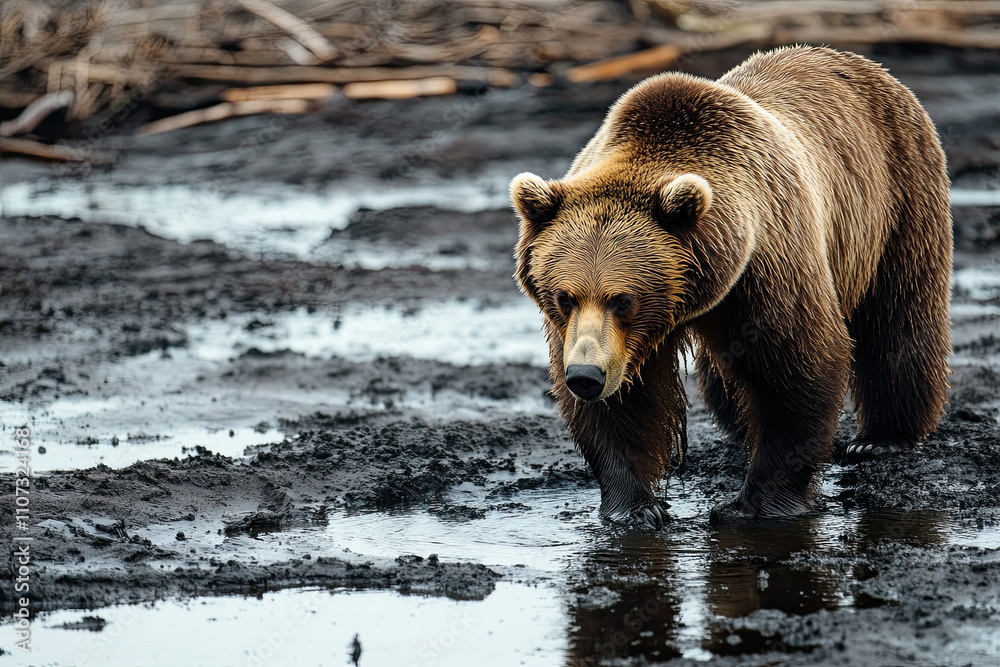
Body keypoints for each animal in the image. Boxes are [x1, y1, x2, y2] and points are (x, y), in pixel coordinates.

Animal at [510, 46, 952, 526]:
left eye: (623, 300)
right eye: (564, 297)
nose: (585, 377)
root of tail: (856, 61)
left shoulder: (769, 263)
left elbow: (797, 367)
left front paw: (754, 504)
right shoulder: (598, 332)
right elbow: (624, 403)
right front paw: (636, 508)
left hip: (899, 194)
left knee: (898, 315)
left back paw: (882, 438)